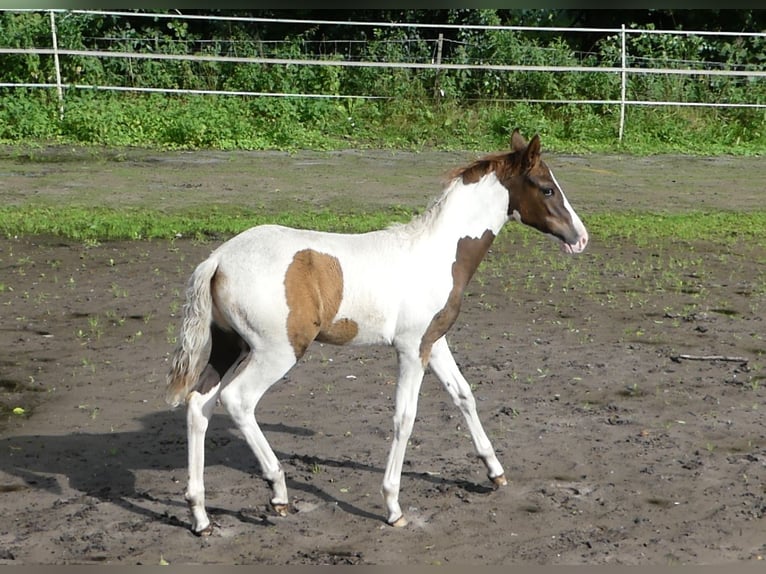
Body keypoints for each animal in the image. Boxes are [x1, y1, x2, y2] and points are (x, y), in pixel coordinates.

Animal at [166, 130, 588, 536]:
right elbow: (405, 417)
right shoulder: (411, 348)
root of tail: (218, 259)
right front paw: (393, 506)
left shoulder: (433, 342)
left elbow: (463, 395)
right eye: (547, 189)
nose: (580, 237)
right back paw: (278, 491)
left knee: (198, 404)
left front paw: (495, 472)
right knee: (237, 400)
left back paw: (200, 516)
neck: (438, 253)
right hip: (277, 351)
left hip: (229, 346)